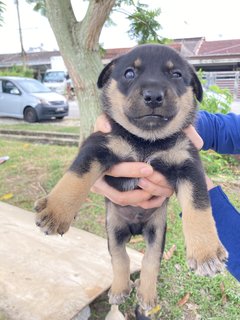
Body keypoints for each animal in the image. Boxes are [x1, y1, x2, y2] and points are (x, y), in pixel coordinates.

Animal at [34, 44, 228, 316]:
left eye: (176, 75)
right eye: (129, 73)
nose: (153, 96)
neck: (146, 141)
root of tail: (135, 229)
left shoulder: (189, 165)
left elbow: (199, 205)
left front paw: (205, 251)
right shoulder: (97, 146)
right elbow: (77, 176)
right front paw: (56, 211)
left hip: (156, 233)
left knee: (149, 261)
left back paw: (146, 295)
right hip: (113, 231)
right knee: (120, 258)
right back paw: (118, 289)